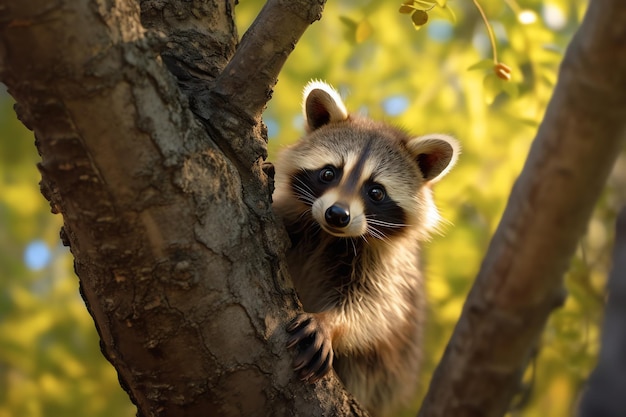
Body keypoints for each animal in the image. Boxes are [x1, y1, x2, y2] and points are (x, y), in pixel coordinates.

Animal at [274, 82, 458, 416]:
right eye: (329, 173)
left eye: (376, 192)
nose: (337, 215)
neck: (328, 235)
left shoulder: (390, 266)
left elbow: (376, 309)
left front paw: (331, 322)